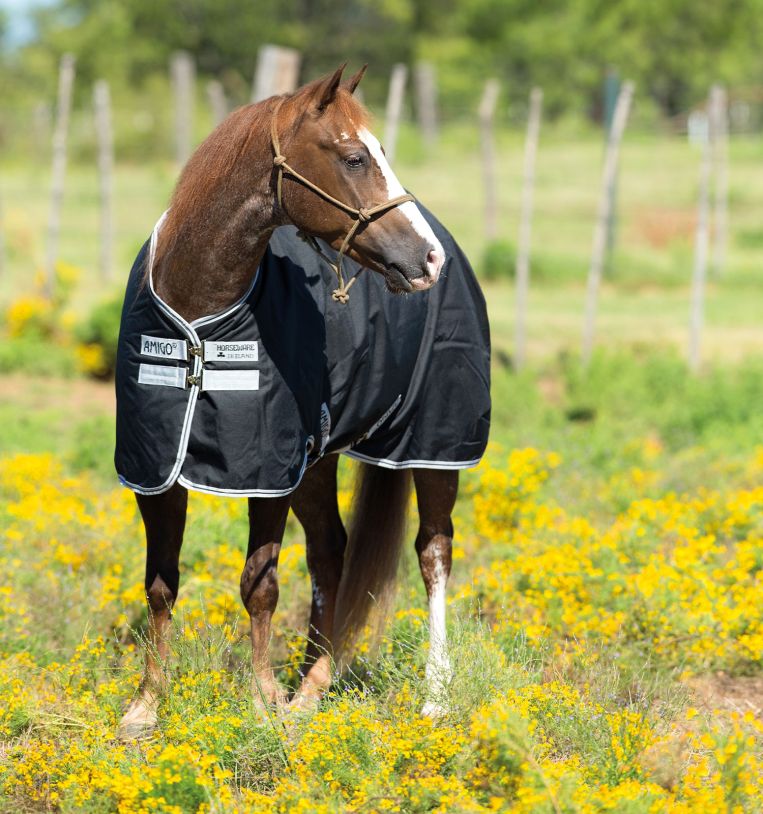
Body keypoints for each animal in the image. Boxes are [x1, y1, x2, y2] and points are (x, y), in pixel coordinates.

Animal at [115, 65, 489, 740]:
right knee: (331, 552)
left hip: (434, 447)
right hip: (317, 461)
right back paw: (311, 688)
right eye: (354, 157)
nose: (428, 258)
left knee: (433, 551)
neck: (198, 317)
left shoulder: (264, 475)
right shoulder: (156, 472)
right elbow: (160, 584)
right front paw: (145, 708)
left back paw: (434, 695)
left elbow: (259, 585)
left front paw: (262, 704)